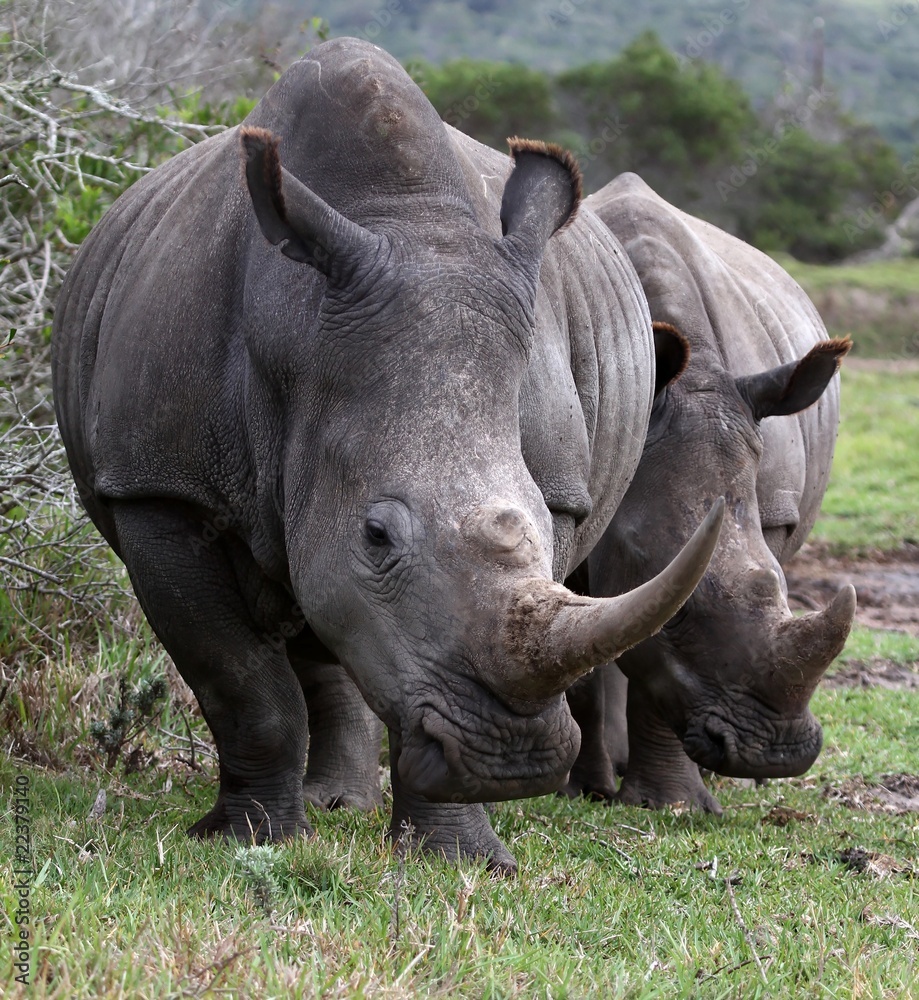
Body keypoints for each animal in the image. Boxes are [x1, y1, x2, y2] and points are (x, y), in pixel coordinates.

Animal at [51, 38, 722, 872]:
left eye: (541, 517)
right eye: (375, 536)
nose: (515, 760)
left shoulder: (562, 491)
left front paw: (458, 857)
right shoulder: (159, 488)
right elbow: (241, 684)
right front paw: (248, 840)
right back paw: (325, 807)